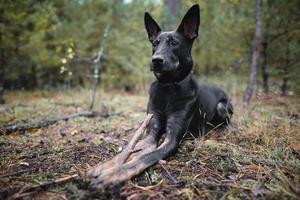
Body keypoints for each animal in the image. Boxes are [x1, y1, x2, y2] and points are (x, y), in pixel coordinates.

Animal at [86, 3, 232, 187]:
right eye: (155, 43)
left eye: (174, 43)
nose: (156, 60)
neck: (168, 89)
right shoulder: (151, 129)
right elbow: (133, 149)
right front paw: (106, 165)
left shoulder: (172, 138)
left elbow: (145, 157)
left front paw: (114, 174)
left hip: (222, 107)